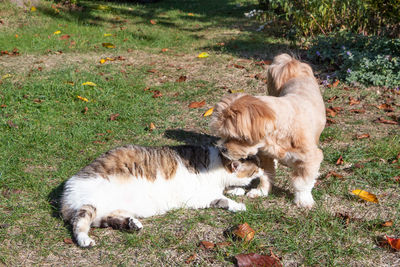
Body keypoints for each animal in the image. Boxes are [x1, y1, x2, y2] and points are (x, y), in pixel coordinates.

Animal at [209, 54, 324, 209]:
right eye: (221, 134)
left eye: (236, 137)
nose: (222, 148)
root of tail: (295, 67)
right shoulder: (265, 156)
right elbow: (266, 175)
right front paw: (261, 191)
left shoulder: (310, 158)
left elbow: (302, 182)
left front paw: (303, 199)